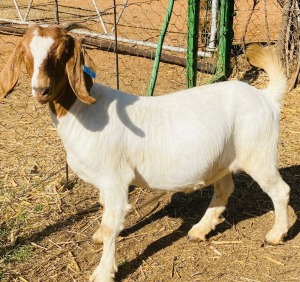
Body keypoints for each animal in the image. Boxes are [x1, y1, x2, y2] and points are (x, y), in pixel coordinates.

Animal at [0, 24, 290, 282]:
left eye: (62, 53)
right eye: (25, 52)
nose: (41, 90)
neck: (84, 112)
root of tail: (266, 98)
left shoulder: (115, 178)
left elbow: (111, 223)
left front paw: (103, 272)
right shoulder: (105, 182)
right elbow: (104, 210)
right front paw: (98, 237)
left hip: (259, 154)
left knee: (280, 191)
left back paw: (276, 235)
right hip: (222, 159)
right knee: (224, 188)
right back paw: (199, 229)